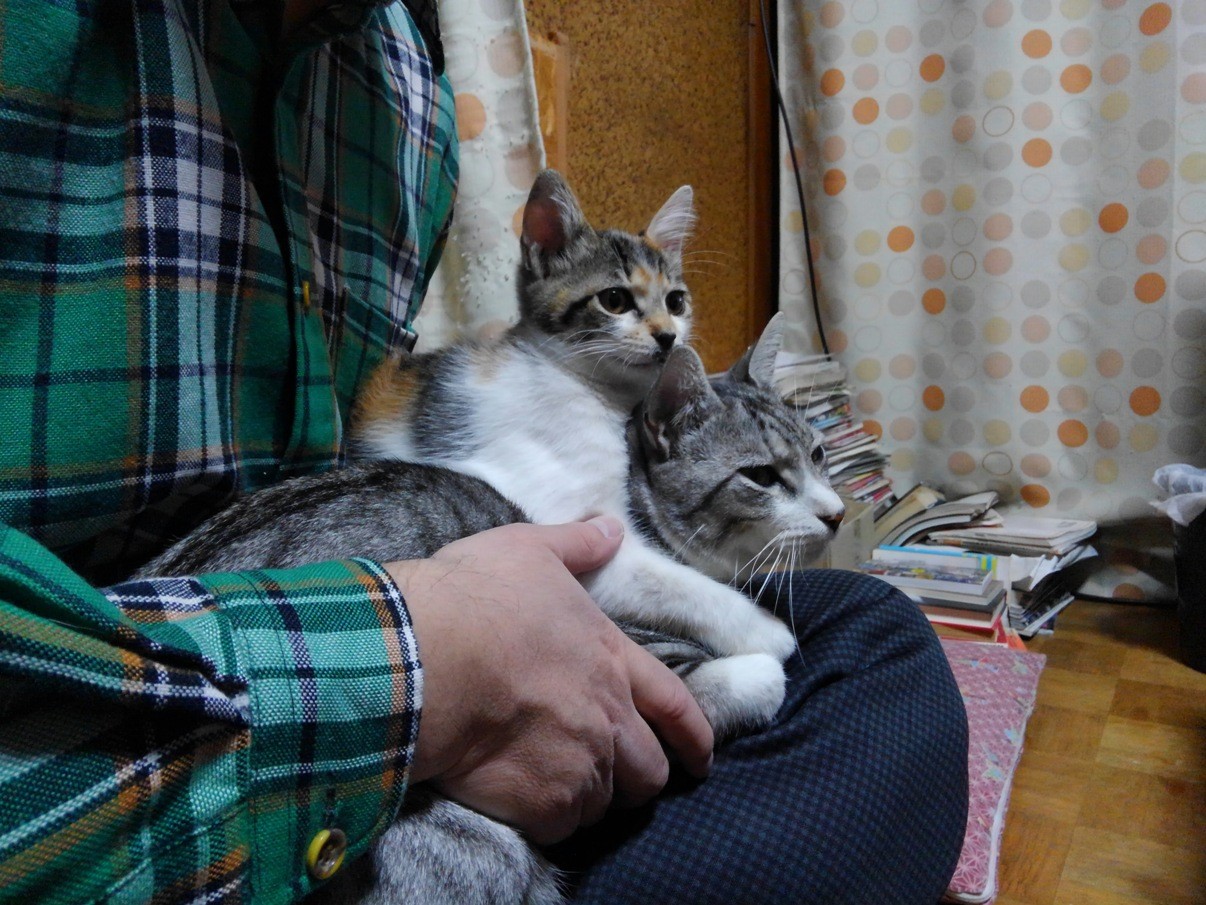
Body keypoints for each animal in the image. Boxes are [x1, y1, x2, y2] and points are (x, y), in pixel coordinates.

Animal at [136, 336, 843, 905]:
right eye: (761, 476)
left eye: (819, 454)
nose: (836, 513)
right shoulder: (634, 665)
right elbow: (743, 669)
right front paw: (766, 646)